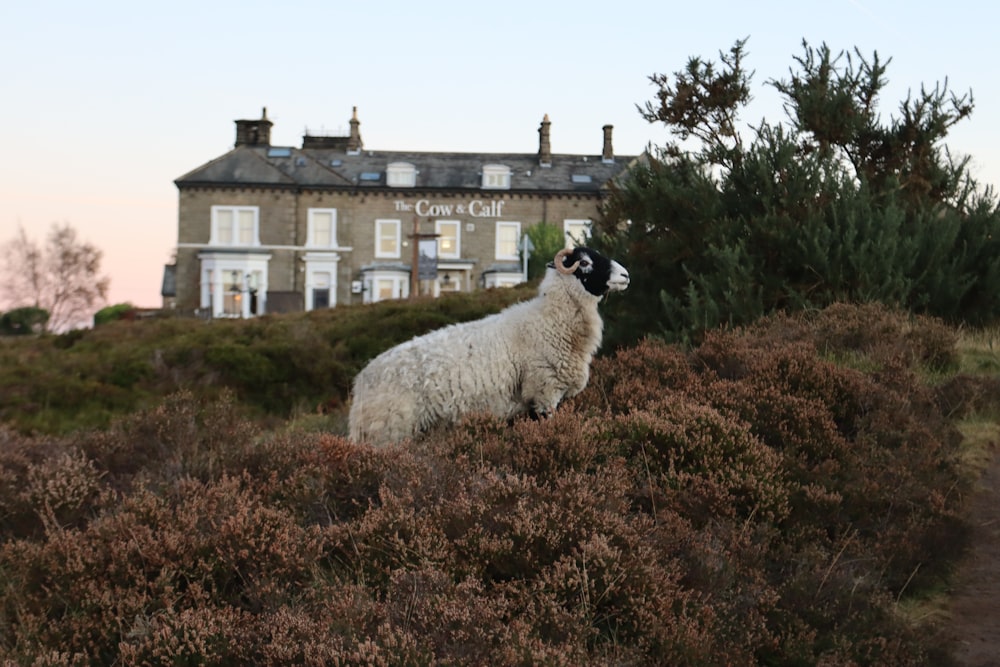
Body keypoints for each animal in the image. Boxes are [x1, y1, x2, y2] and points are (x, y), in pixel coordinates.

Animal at [348, 248, 628, 446]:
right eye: (585, 262)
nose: (626, 275)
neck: (549, 319)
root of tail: (361, 380)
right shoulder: (542, 393)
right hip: (388, 430)